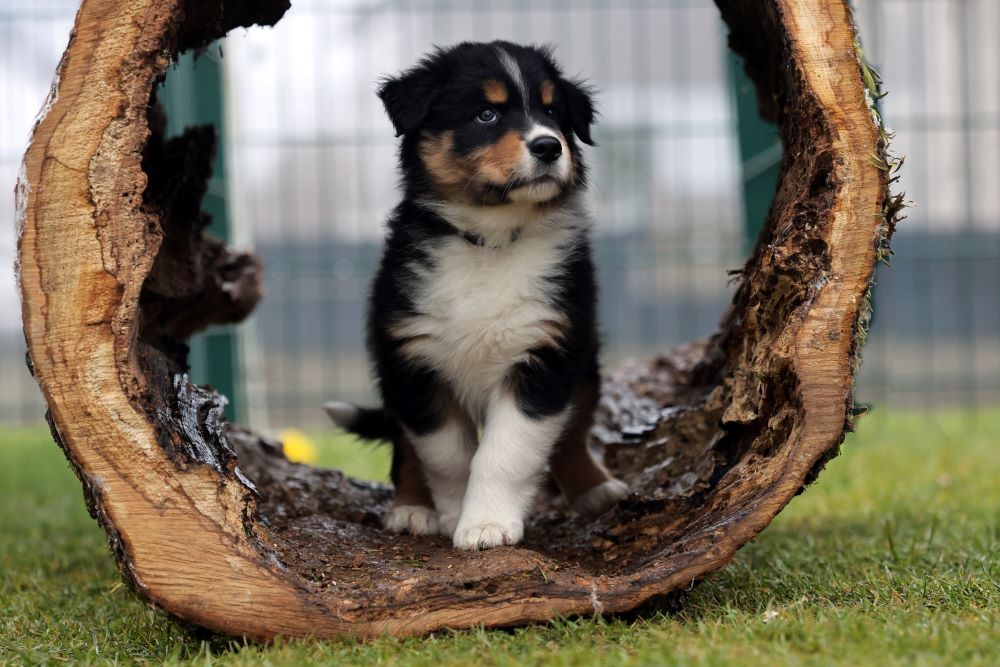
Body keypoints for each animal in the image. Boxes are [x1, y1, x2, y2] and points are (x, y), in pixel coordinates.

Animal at [325, 41, 627, 550]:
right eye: (487, 114)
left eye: (552, 111)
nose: (549, 145)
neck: (490, 240)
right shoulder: (414, 356)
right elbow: (445, 453)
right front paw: (453, 515)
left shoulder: (546, 353)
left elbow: (506, 452)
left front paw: (487, 525)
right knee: (406, 443)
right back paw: (412, 508)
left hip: (585, 361)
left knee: (575, 430)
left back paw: (597, 490)